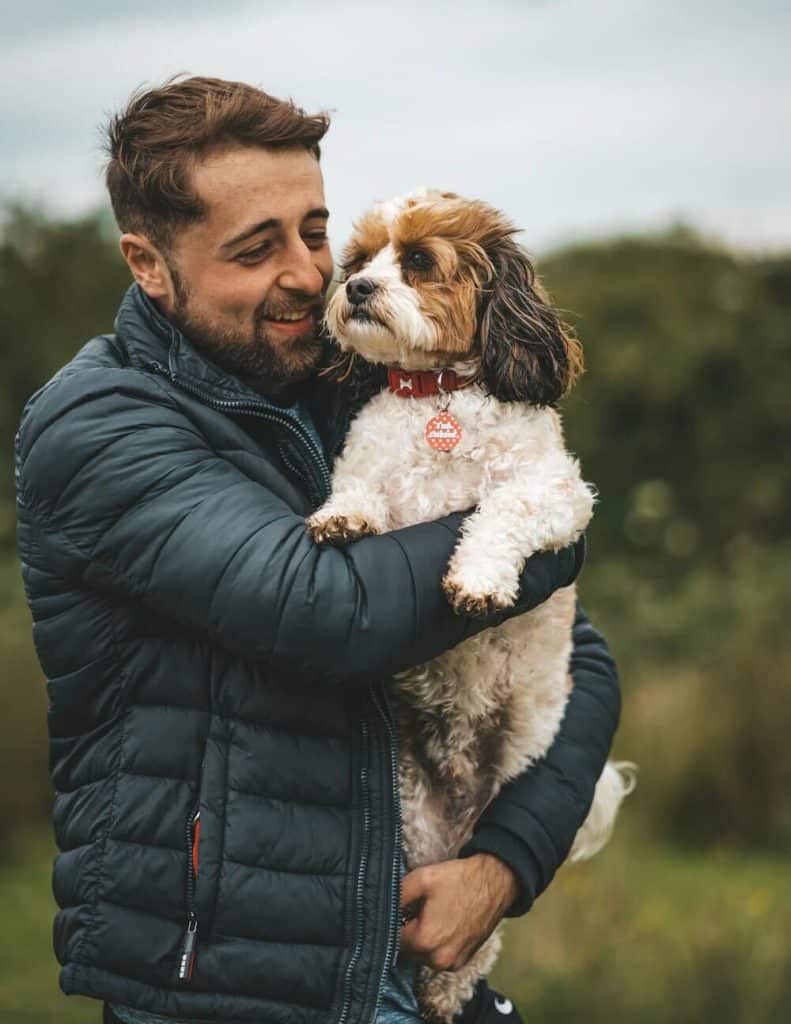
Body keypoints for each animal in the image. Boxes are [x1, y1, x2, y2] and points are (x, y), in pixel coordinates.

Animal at [305, 188, 635, 1019]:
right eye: (359, 259)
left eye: (419, 262)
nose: (356, 289)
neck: (436, 397)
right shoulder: (372, 471)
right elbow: (358, 491)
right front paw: (341, 518)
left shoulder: (558, 494)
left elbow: (499, 511)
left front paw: (477, 579)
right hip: (412, 825)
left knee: (470, 951)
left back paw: (444, 993)